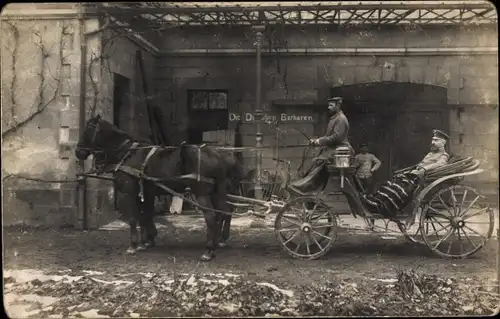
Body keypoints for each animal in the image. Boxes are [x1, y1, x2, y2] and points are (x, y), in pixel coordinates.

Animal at [75, 115, 245, 262]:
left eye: (87, 129)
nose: (78, 152)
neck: (127, 154)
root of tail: (217, 154)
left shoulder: (130, 192)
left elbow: (134, 218)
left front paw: (134, 245)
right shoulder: (146, 192)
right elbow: (145, 215)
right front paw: (147, 241)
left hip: (202, 193)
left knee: (212, 216)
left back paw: (209, 250)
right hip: (219, 192)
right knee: (223, 213)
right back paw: (217, 243)